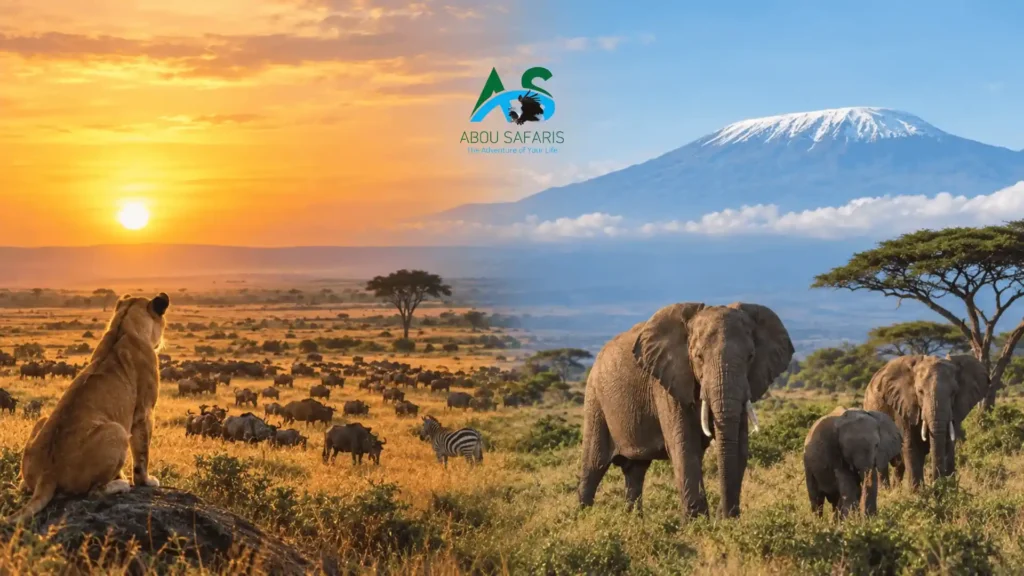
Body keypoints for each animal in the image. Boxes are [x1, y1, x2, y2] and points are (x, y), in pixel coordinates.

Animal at [579, 302, 794, 519]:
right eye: (698, 357)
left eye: (750, 357)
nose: (723, 516)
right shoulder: (667, 382)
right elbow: (685, 445)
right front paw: (697, 522)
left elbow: (740, 445)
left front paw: (726, 521)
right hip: (594, 398)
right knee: (594, 464)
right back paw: (582, 517)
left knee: (636, 471)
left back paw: (633, 520)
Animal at [863, 354, 989, 489]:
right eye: (920, 392)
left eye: (954, 392)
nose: (937, 486)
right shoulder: (904, 406)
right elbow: (911, 445)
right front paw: (918, 493)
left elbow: (948, 444)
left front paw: (948, 489)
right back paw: (886, 490)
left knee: (899, 465)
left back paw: (896, 490)